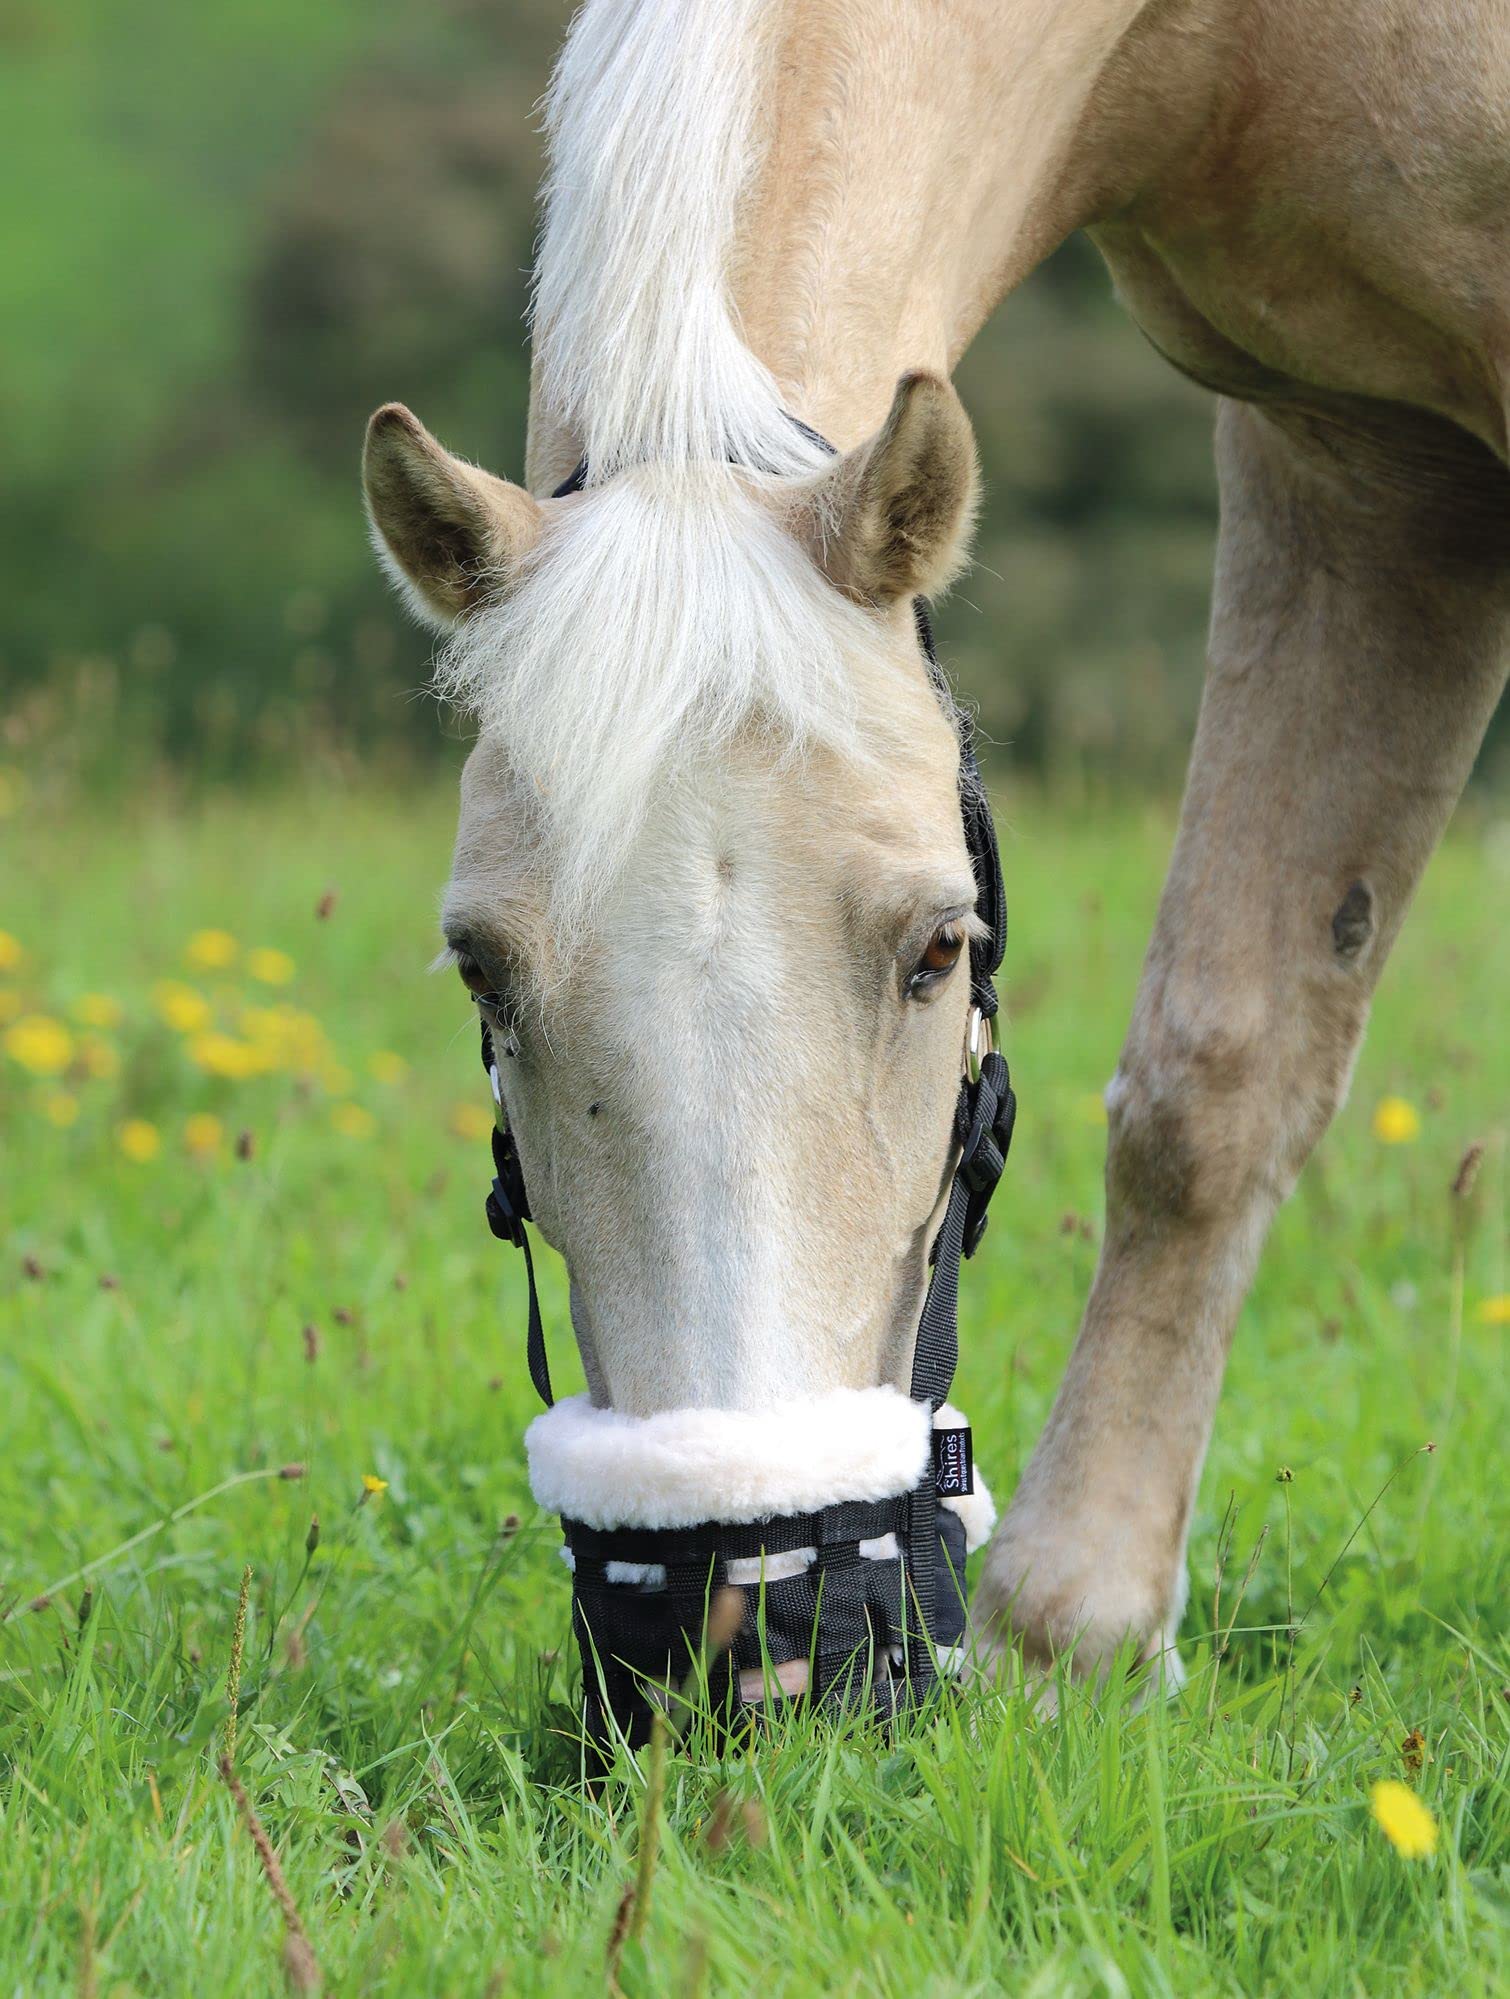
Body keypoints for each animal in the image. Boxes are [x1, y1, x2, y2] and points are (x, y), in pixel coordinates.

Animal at [364, 0, 1510, 1695]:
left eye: (936, 950)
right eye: (481, 973)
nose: (749, 1630)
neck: (1241, 45)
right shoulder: (1358, 454)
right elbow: (1216, 1073)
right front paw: (1075, 1634)